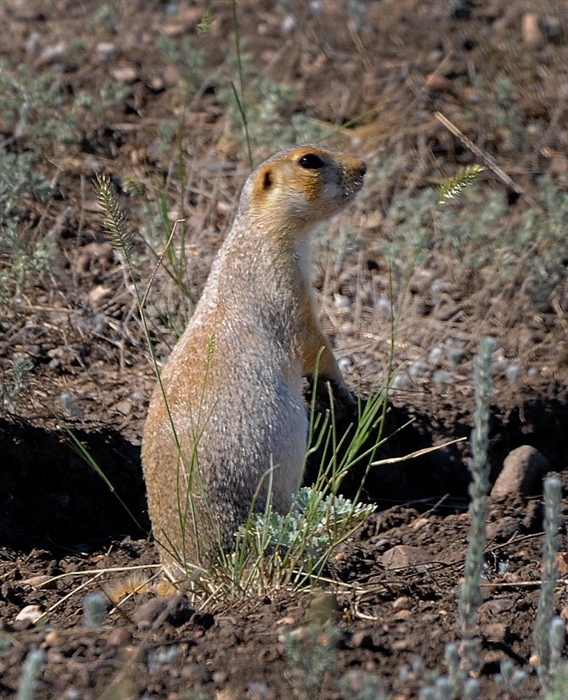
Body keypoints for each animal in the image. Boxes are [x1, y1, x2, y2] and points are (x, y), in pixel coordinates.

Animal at [140, 144, 366, 576]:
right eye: (309, 160)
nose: (364, 165)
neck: (256, 234)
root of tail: (176, 572)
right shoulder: (286, 287)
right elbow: (313, 342)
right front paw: (342, 389)